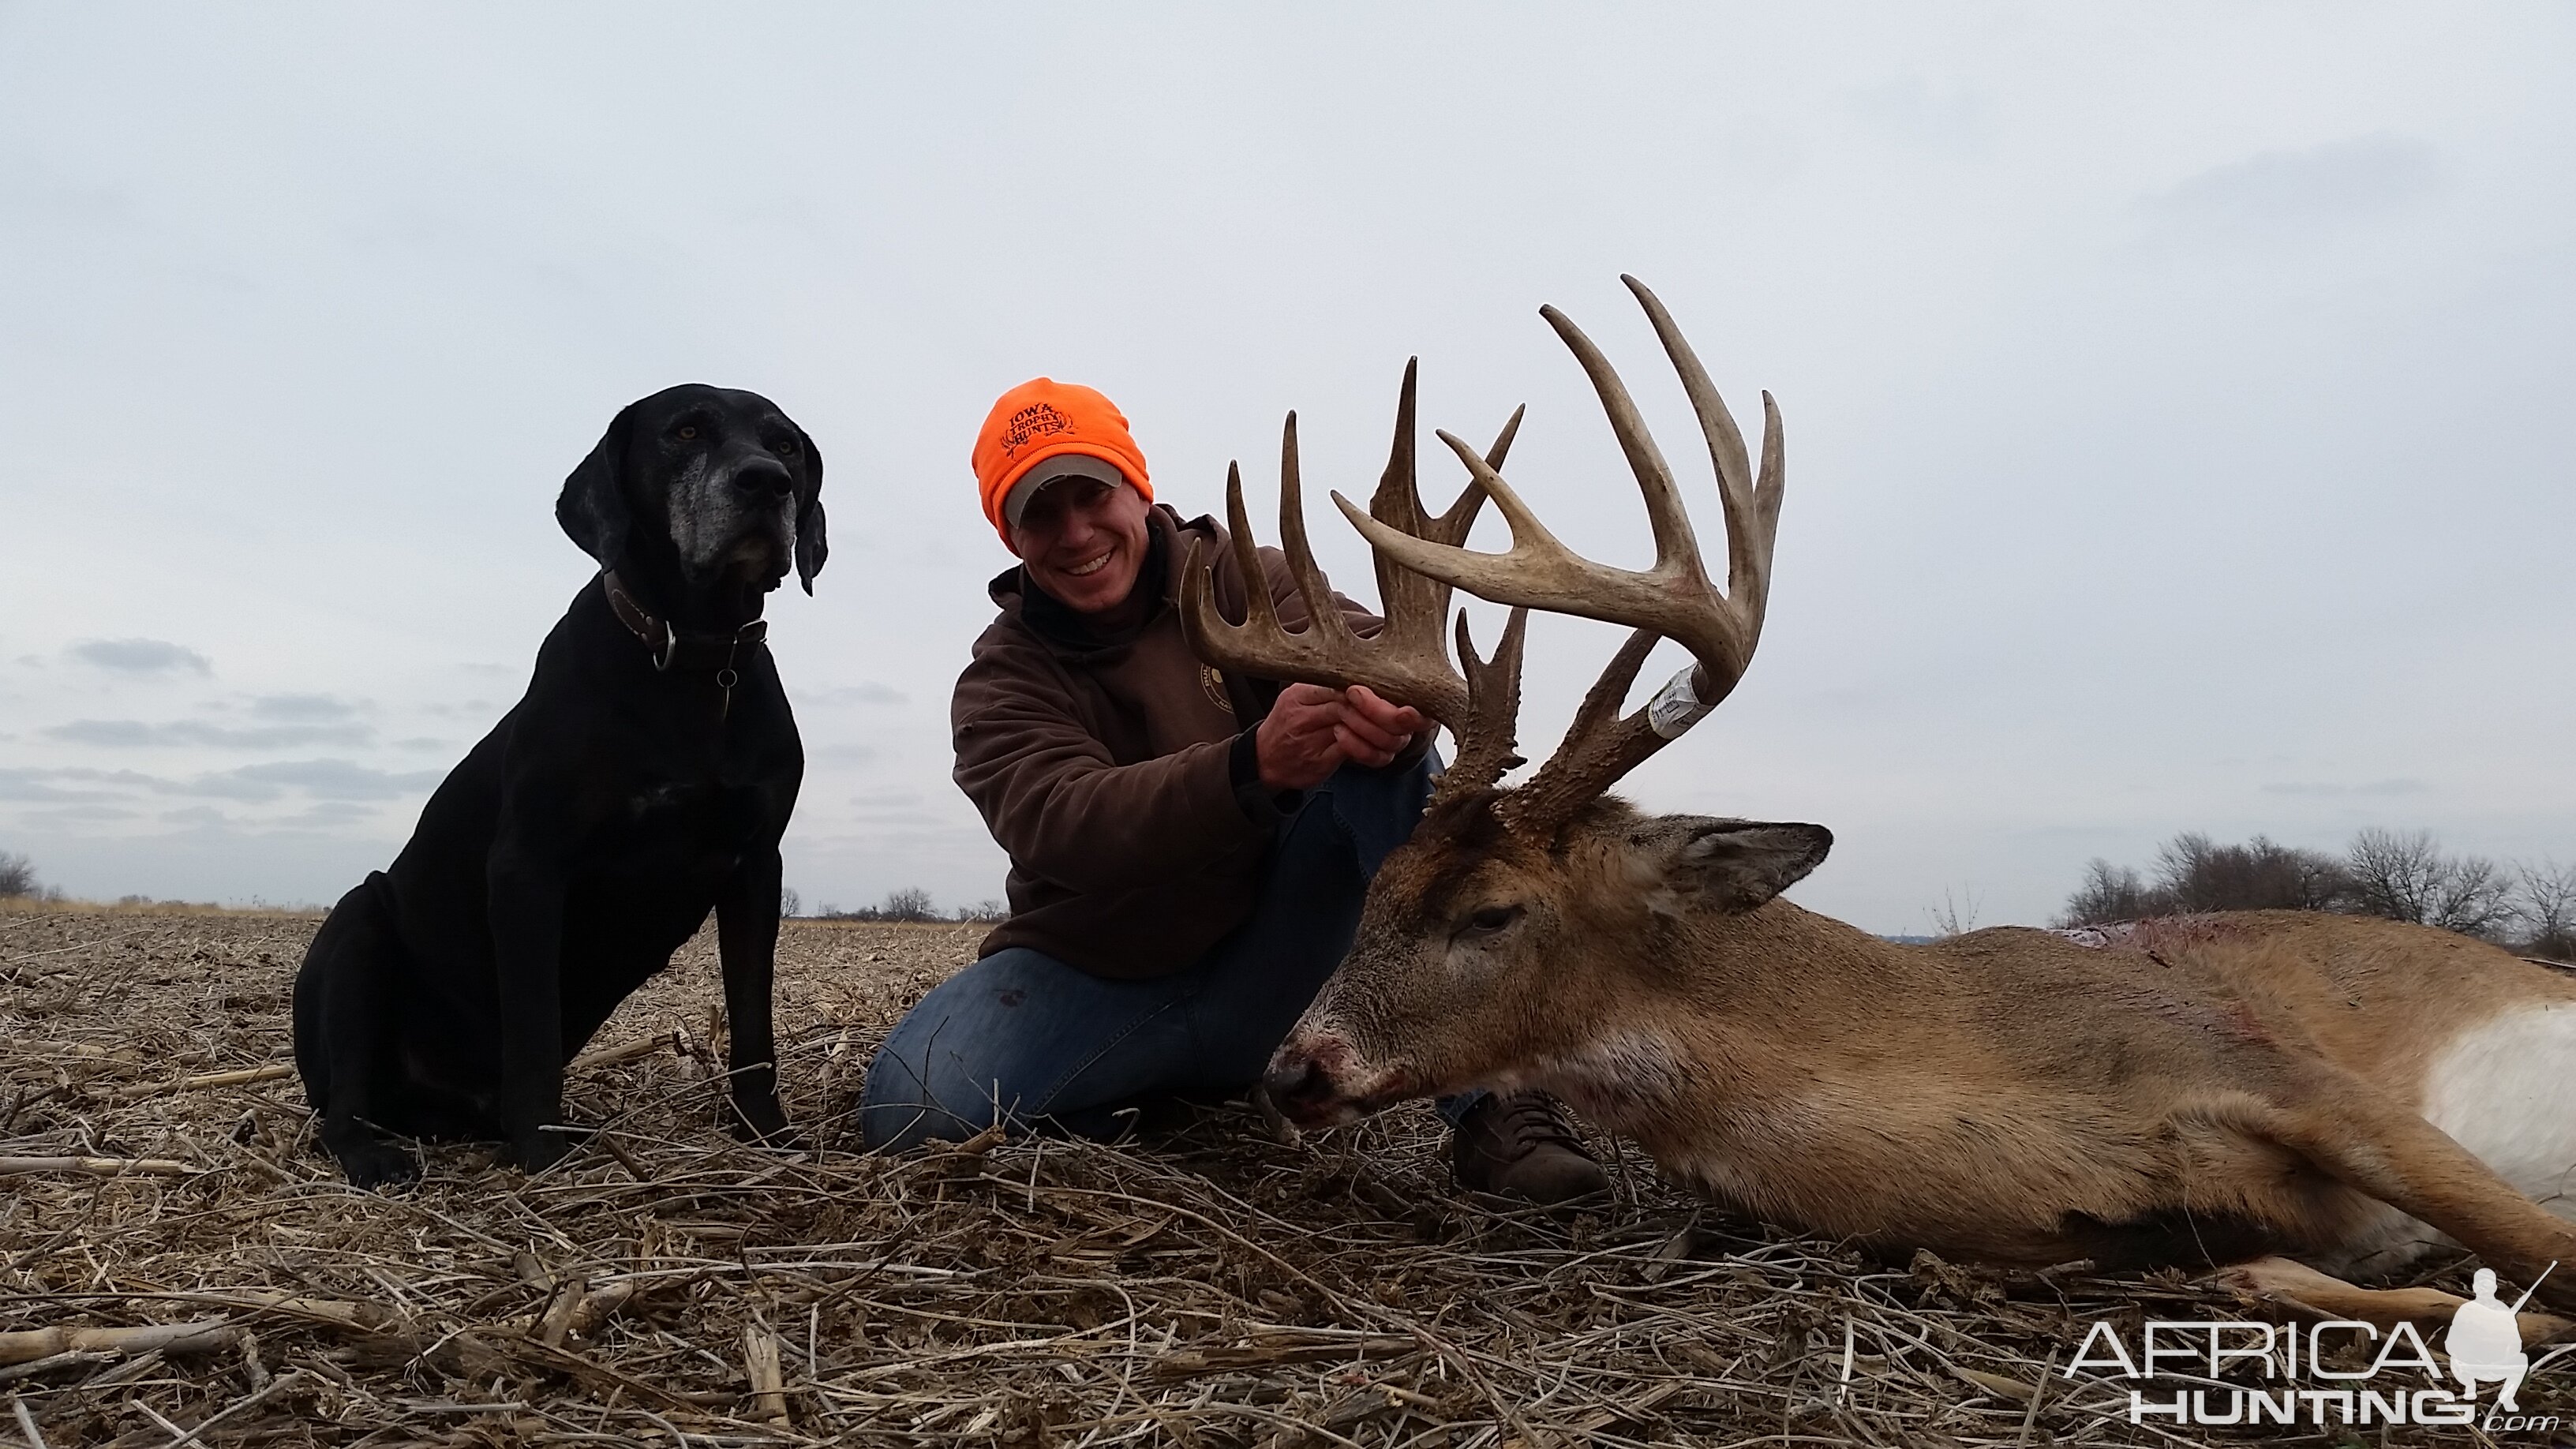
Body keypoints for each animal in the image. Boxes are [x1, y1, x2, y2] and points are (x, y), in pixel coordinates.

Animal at [297, 384, 829, 1185]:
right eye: (686, 430)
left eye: (786, 444)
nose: (766, 483)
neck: (693, 659)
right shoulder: (528, 869)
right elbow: (532, 1026)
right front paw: (541, 1151)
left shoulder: (755, 868)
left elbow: (753, 1021)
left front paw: (767, 1135)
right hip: (358, 926)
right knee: (344, 1101)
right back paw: (376, 1153)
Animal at [1179, 275, 2576, 1340]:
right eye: (1375, 886)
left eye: (1493, 912)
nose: (1296, 1067)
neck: (1960, 1080)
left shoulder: (2270, 1063)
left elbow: (2534, 1246)